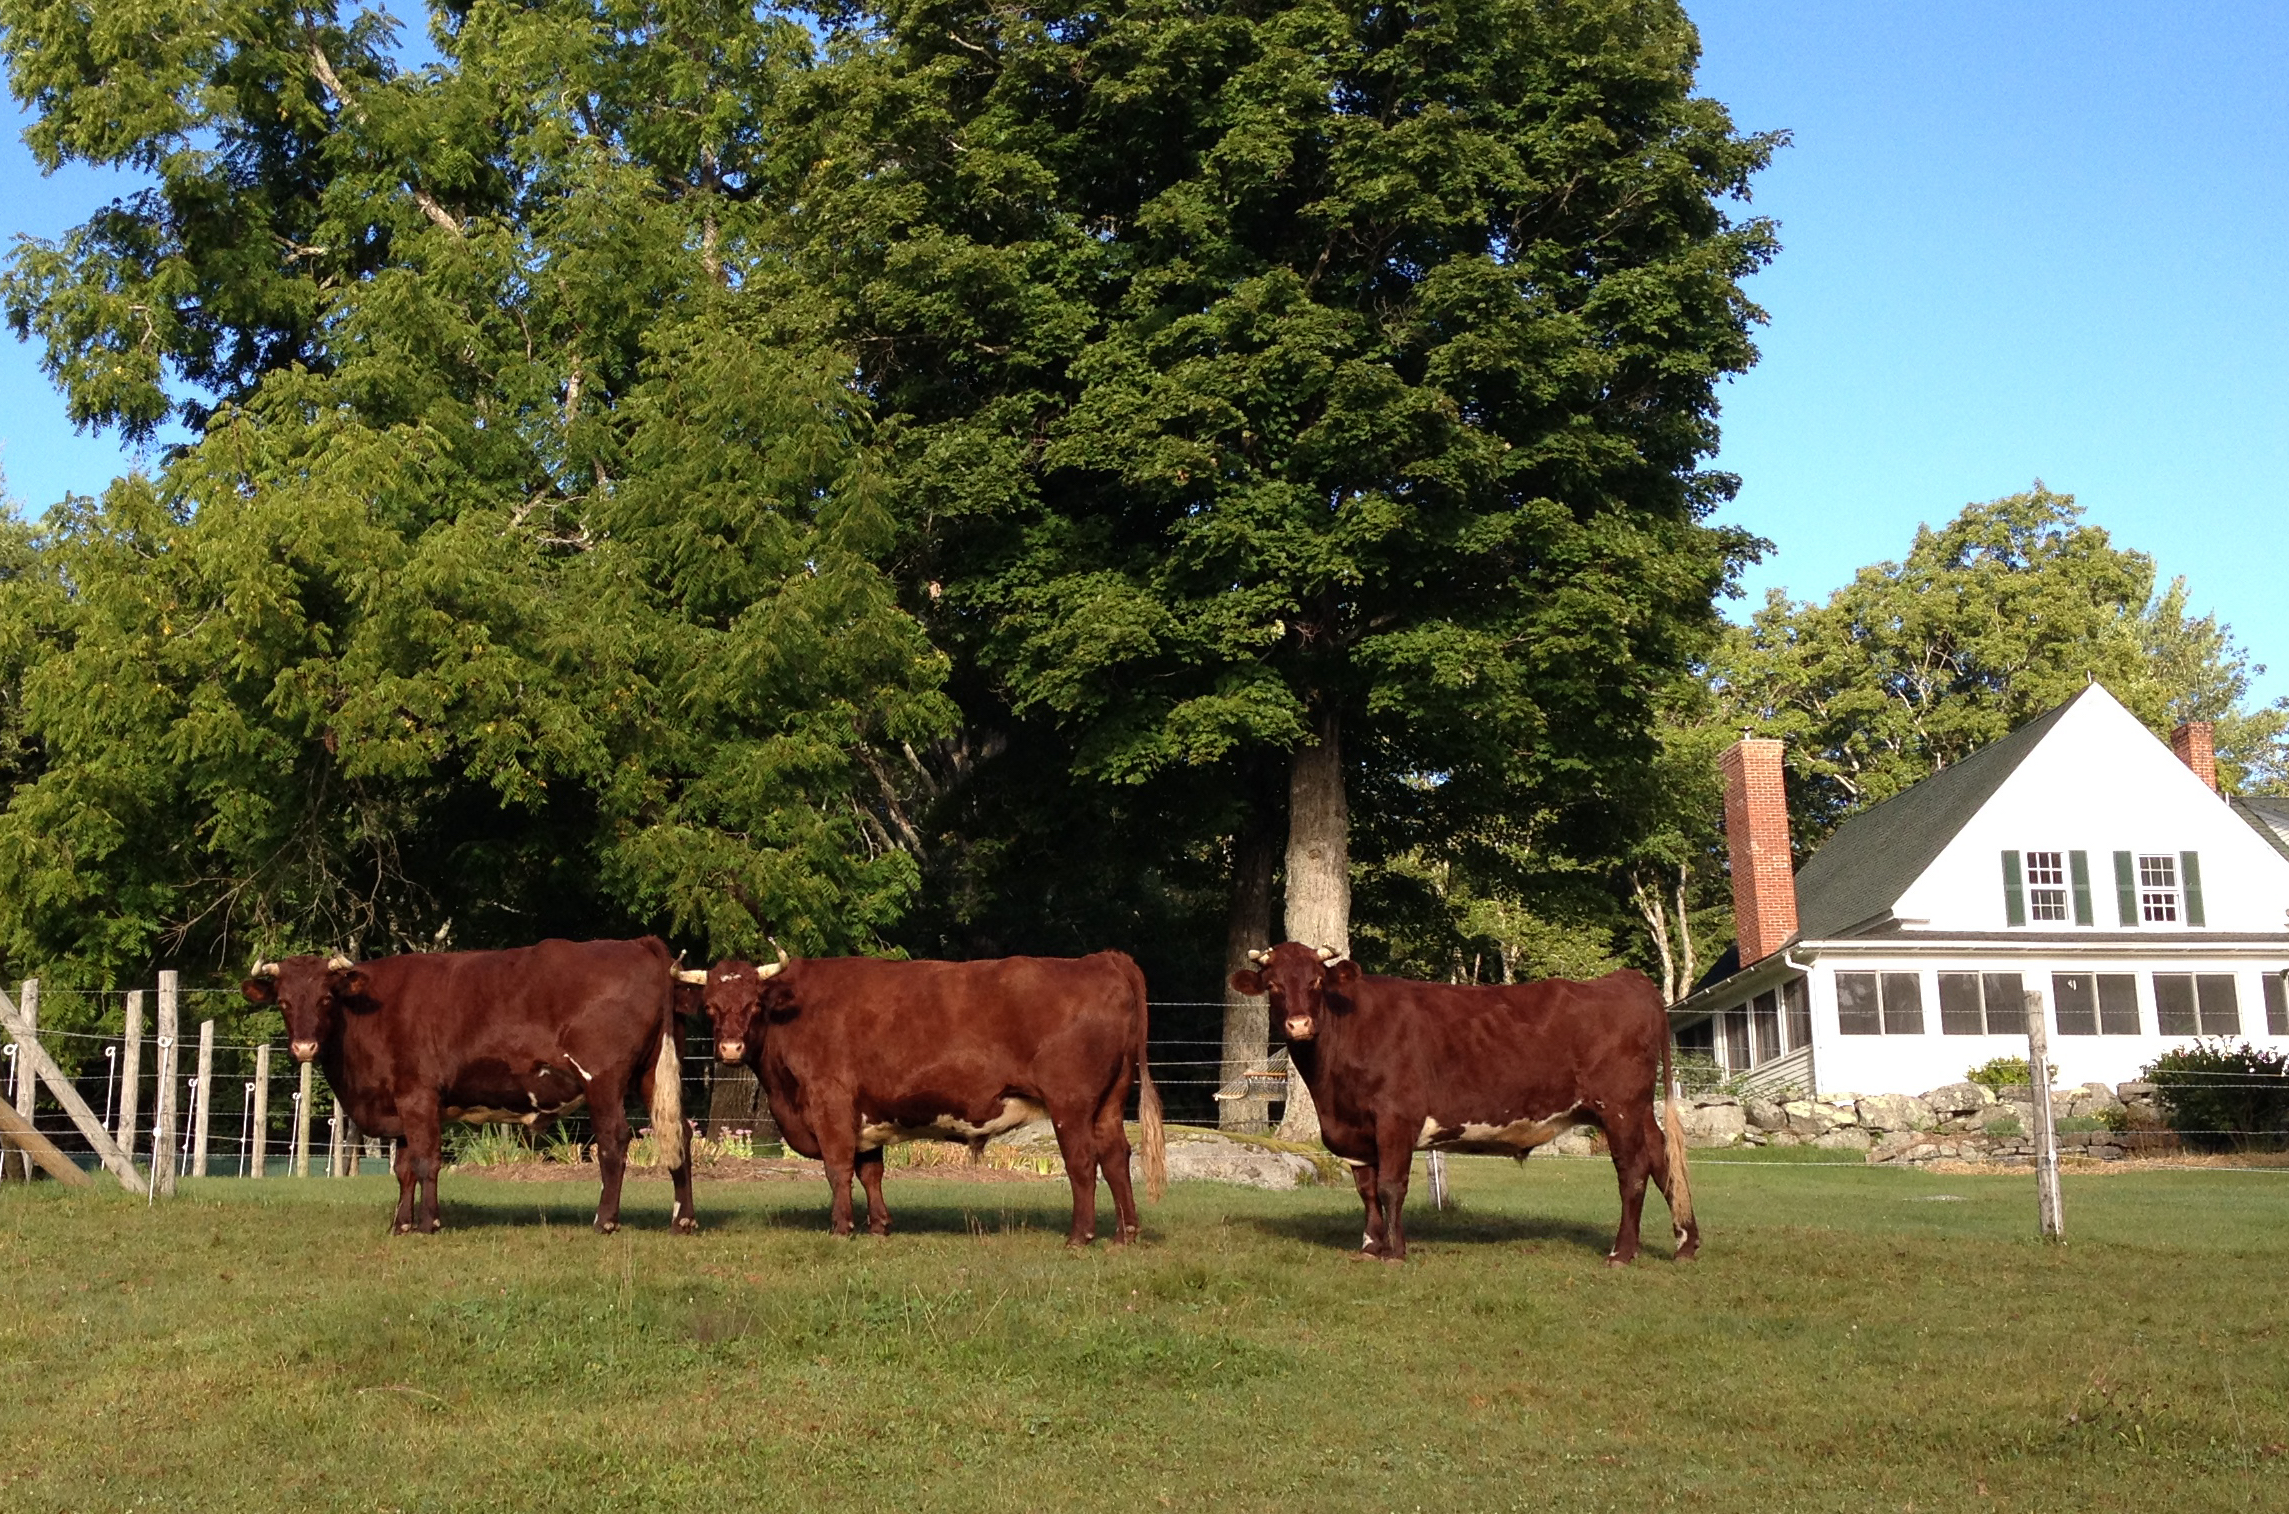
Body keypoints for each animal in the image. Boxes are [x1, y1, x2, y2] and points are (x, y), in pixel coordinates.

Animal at [241, 937, 693, 1236]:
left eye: (325, 999)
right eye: (283, 1002)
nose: (303, 1047)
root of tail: (636, 943)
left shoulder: (419, 1097)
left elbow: (426, 1162)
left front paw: (428, 1222)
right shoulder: (401, 1106)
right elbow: (404, 1168)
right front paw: (400, 1223)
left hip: (603, 1079)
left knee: (614, 1140)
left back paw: (605, 1220)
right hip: (655, 1072)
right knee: (680, 1135)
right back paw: (683, 1219)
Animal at [690, 951, 1166, 1245]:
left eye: (753, 1005)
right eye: (710, 1007)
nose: (729, 1049)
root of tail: (1100, 959)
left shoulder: (831, 1102)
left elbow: (838, 1169)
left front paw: (841, 1227)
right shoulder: (866, 1113)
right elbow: (871, 1172)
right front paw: (879, 1226)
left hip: (1071, 1104)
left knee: (1083, 1162)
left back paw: (1079, 1236)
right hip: (1108, 1104)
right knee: (1116, 1157)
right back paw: (1125, 1234)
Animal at [1229, 941, 1696, 1265]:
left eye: (1316, 982)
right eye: (1273, 986)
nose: (1299, 1024)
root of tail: (1626, 979)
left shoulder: (1396, 1118)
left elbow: (1391, 1185)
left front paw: (1395, 1252)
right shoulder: (1352, 1131)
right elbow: (1366, 1189)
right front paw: (1370, 1246)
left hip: (1620, 1107)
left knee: (1633, 1170)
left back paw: (1622, 1252)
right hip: (1637, 1110)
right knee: (1662, 1158)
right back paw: (1685, 1244)